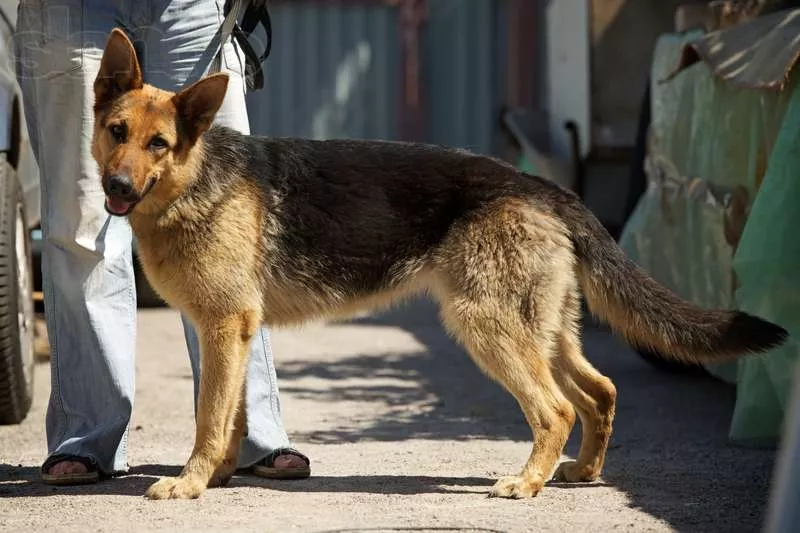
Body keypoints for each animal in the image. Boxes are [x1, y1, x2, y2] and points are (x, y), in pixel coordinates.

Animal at [92, 30, 788, 498]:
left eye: (160, 143)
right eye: (117, 132)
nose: (117, 189)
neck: (193, 179)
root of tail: (543, 188)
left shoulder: (224, 329)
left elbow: (210, 417)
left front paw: (190, 483)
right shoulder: (232, 333)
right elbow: (229, 415)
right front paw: (219, 476)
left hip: (487, 327)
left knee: (557, 410)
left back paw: (525, 484)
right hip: (544, 332)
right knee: (601, 392)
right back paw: (583, 472)